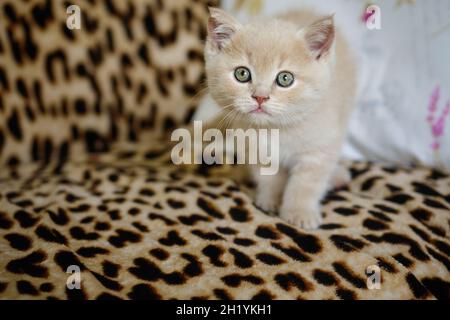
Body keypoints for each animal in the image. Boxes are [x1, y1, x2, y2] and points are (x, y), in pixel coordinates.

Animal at [203, 6, 356, 228]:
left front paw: (299, 213)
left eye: (285, 78)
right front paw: (270, 201)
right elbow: (269, 178)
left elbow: (307, 182)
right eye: (242, 74)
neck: (277, 129)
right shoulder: (255, 148)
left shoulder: (320, 146)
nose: (260, 96)